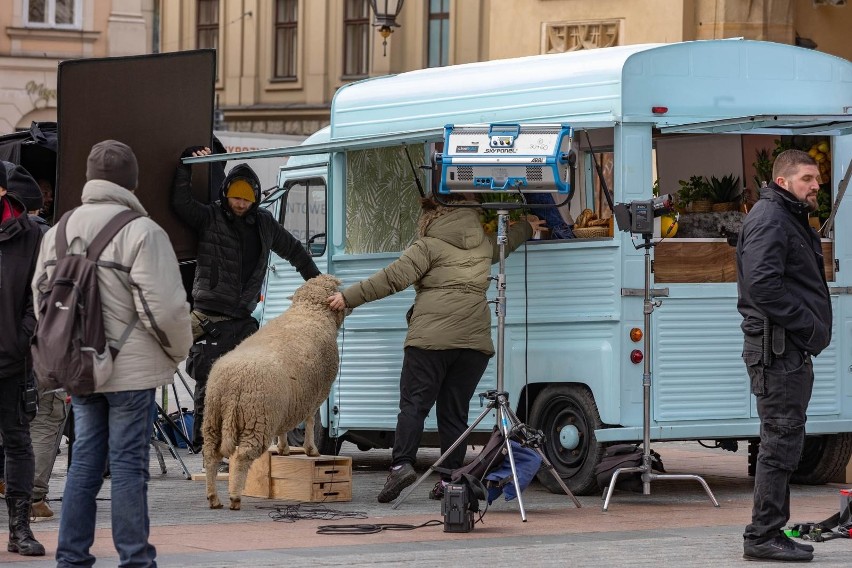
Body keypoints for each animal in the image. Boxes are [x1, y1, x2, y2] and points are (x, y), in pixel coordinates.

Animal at [201, 274, 344, 510]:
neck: (309, 313)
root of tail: (232, 383)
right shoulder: (316, 392)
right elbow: (310, 421)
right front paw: (311, 450)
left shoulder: (288, 402)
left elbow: (285, 426)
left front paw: (284, 448)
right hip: (257, 419)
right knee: (242, 457)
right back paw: (235, 497)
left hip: (214, 419)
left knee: (211, 455)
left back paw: (214, 498)